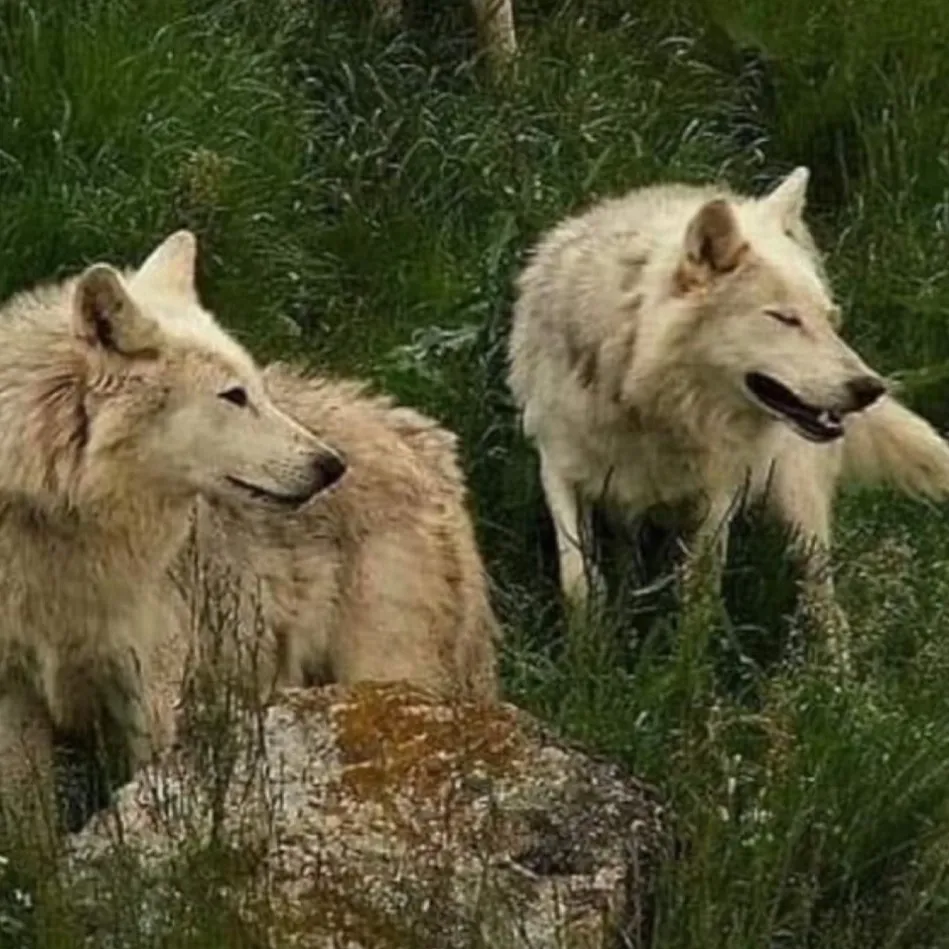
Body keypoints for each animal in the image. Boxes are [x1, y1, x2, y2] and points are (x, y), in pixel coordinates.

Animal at [507, 167, 949, 658]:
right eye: (784, 318)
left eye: (828, 319)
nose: (870, 388)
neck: (652, 405)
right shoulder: (559, 465)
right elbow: (580, 581)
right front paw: (589, 655)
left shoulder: (720, 491)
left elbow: (698, 592)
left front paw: (686, 666)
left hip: (798, 505)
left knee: (826, 602)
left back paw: (835, 675)